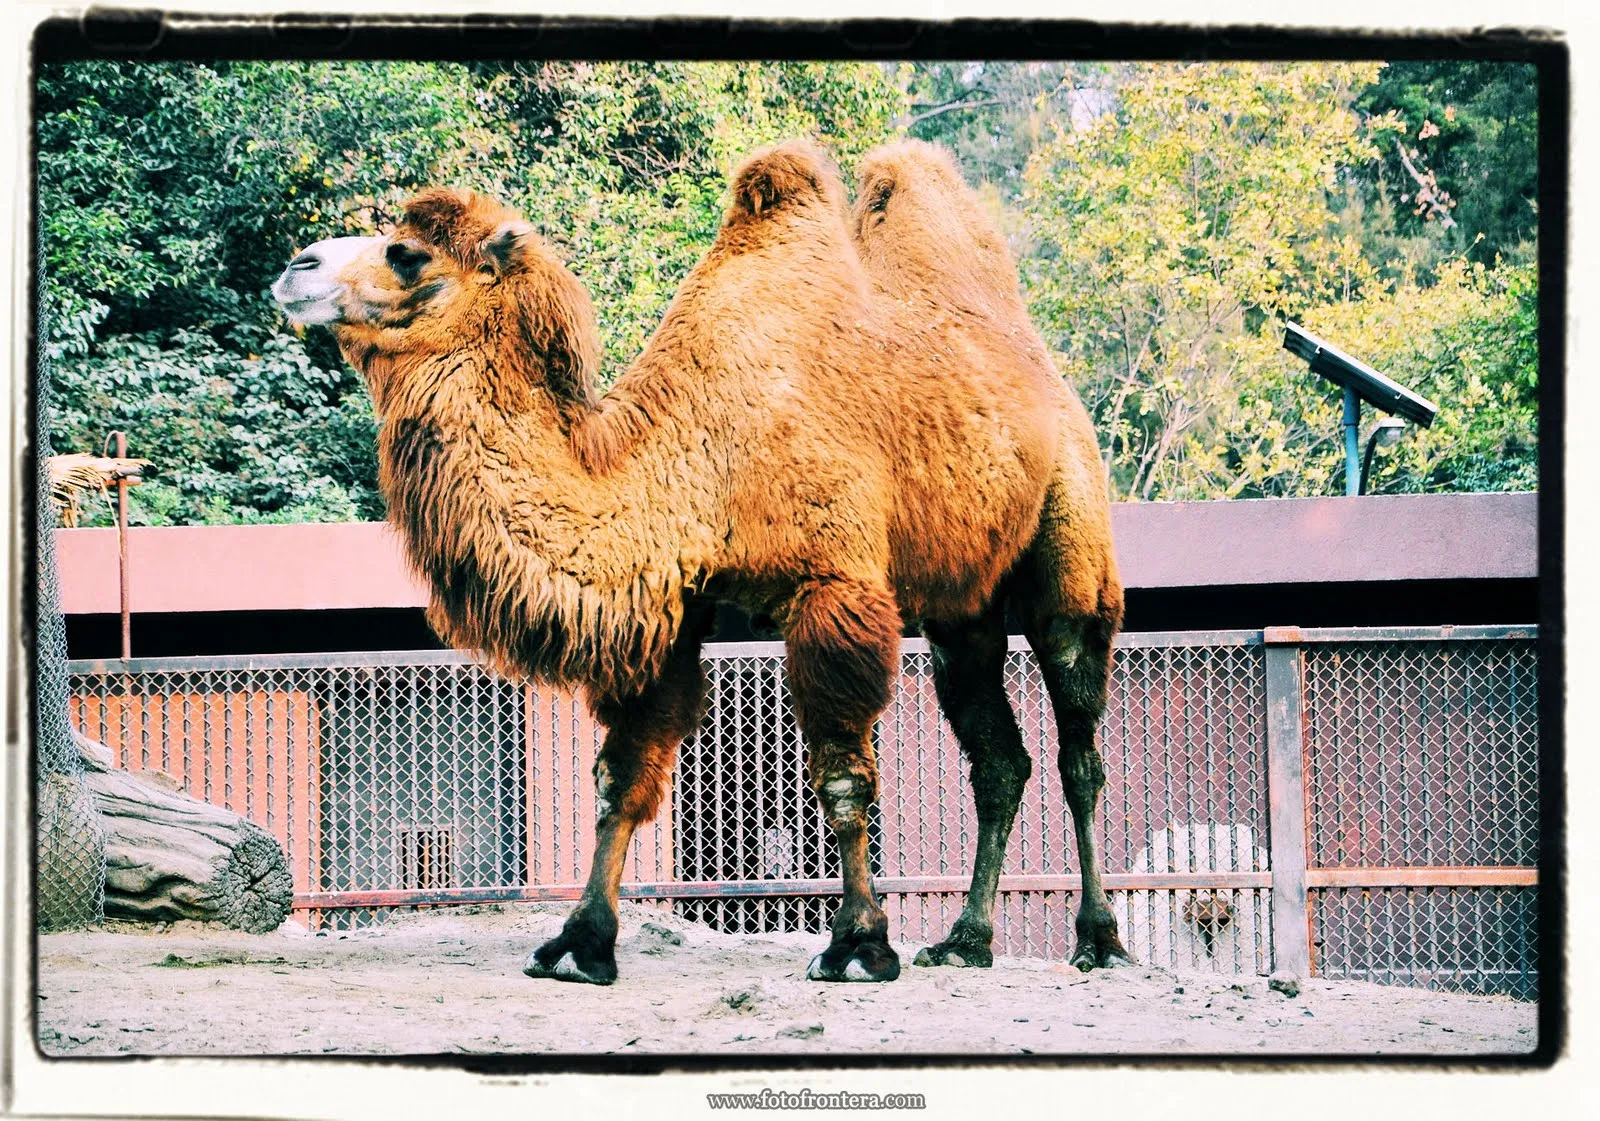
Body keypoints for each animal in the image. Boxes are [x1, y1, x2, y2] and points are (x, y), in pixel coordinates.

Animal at [272, 137, 1126, 978]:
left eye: (407, 254)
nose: (295, 267)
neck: (697, 450)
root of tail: (1042, 372)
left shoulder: (834, 587)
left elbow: (841, 774)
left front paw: (857, 943)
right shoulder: (675, 604)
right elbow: (622, 778)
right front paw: (580, 943)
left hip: (1072, 539)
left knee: (1078, 743)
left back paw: (1098, 939)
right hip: (962, 609)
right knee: (999, 758)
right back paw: (966, 940)